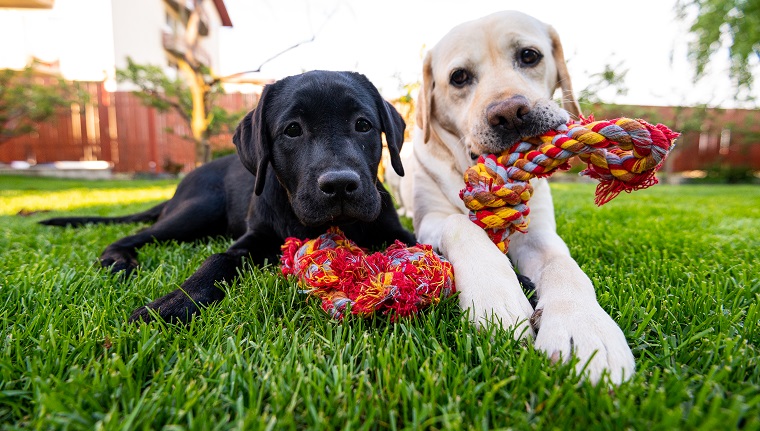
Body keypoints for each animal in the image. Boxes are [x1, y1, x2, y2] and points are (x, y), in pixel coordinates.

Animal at [41, 71, 416, 322]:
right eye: (292, 130)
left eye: (363, 125)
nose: (339, 184)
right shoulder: (254, 237)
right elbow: (218, 259)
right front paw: (173, 303)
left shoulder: (395, 229)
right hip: (199, 209)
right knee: (135, 234)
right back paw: (118, 260)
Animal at [404, 11, 636, 384]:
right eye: (459, 77)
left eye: (529, 55)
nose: (510, 113)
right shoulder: (429, 219)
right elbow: (459, 224)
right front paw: (496, 299)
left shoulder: (538, 233)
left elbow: (563, 265)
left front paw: (584, 327)